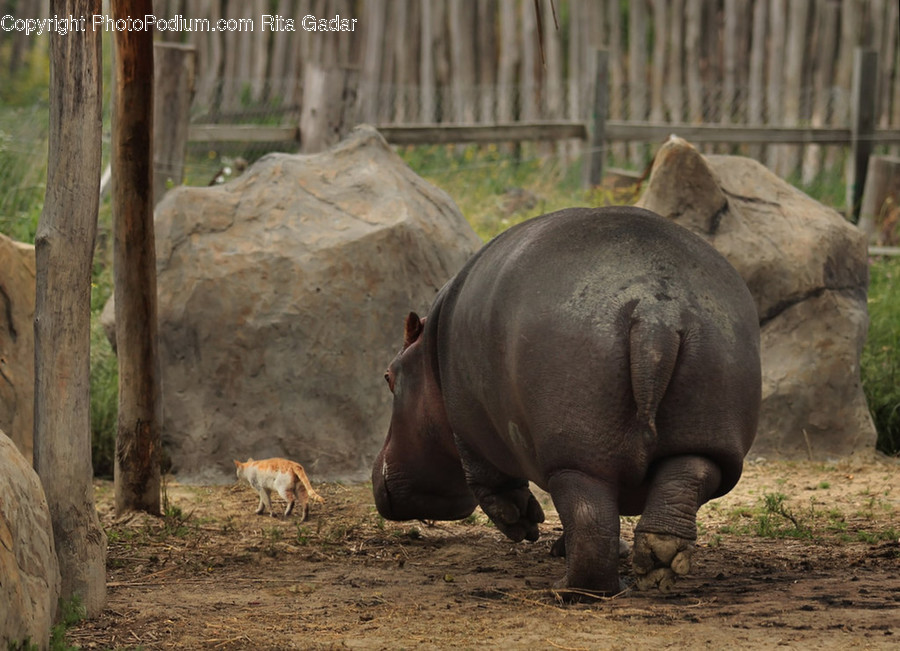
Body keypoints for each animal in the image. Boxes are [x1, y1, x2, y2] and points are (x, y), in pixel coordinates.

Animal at [372, 206, 761, 597]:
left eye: (388, 377)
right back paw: (657, 563)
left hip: (576, 454)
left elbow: (492, 485)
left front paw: (524, 525)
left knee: (590, 520)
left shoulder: (468, 431)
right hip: (705, 422)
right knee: (686, 479)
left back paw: (570, 590)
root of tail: (657, 315)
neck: (428, 354)